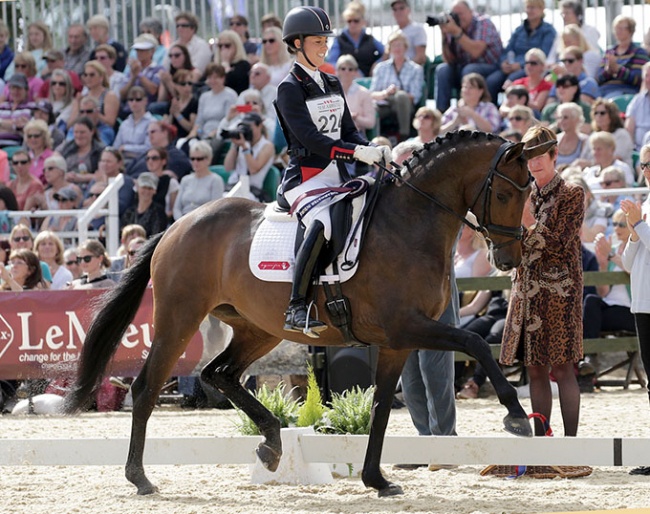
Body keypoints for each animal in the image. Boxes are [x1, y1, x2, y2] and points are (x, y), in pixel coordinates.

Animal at [64, 131, 548, 496]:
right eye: (507, 192)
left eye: (530, 192)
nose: (508, 259)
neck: (408, 224)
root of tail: (176, 226)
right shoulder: (406, 327)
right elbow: (473, 342)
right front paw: (515, 416)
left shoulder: (398, 341)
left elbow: (381, 409)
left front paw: (376, 480)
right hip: (179, 319)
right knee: (147, 387)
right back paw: (140, 478)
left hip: (258, 328)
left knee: (219, 374)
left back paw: (272, 444)